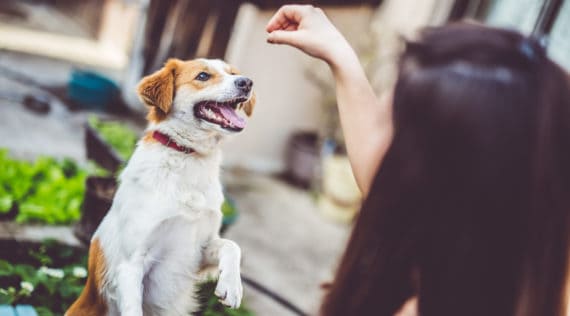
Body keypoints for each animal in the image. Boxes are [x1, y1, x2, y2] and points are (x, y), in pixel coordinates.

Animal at [65, 58, 254, 316]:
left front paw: (232, 287)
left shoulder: (199, 252)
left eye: (233, 73)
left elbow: (232, 246)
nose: (247, 82)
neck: (187, 156)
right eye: (203, 76)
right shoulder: (131, 263)